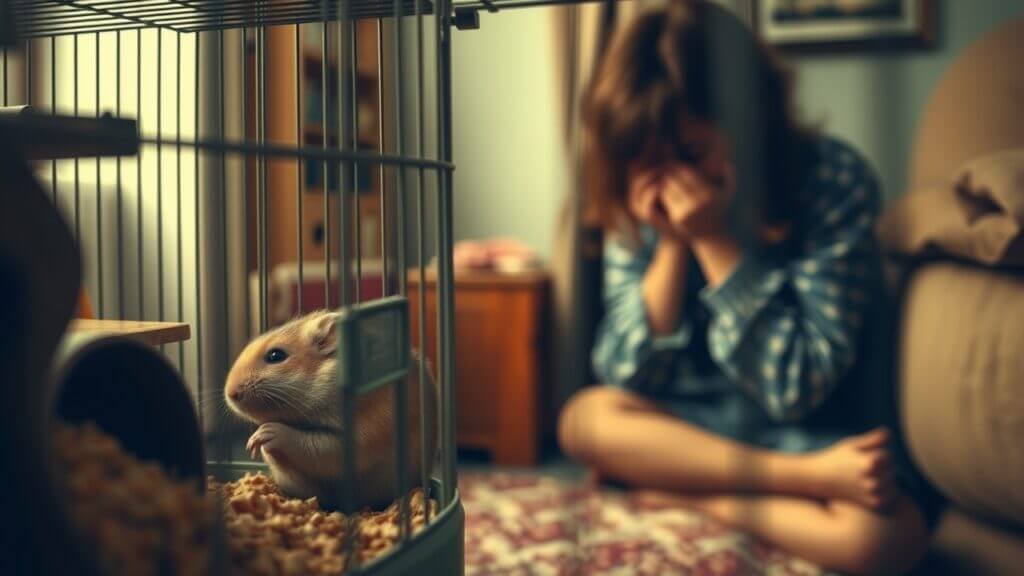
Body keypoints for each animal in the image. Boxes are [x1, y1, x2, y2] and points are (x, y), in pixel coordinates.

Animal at [226, 309, 438, 506]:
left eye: (275, 356)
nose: (230, 393)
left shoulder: (356, 438)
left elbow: (308, 444)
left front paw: (264, 434)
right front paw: (253, 444)